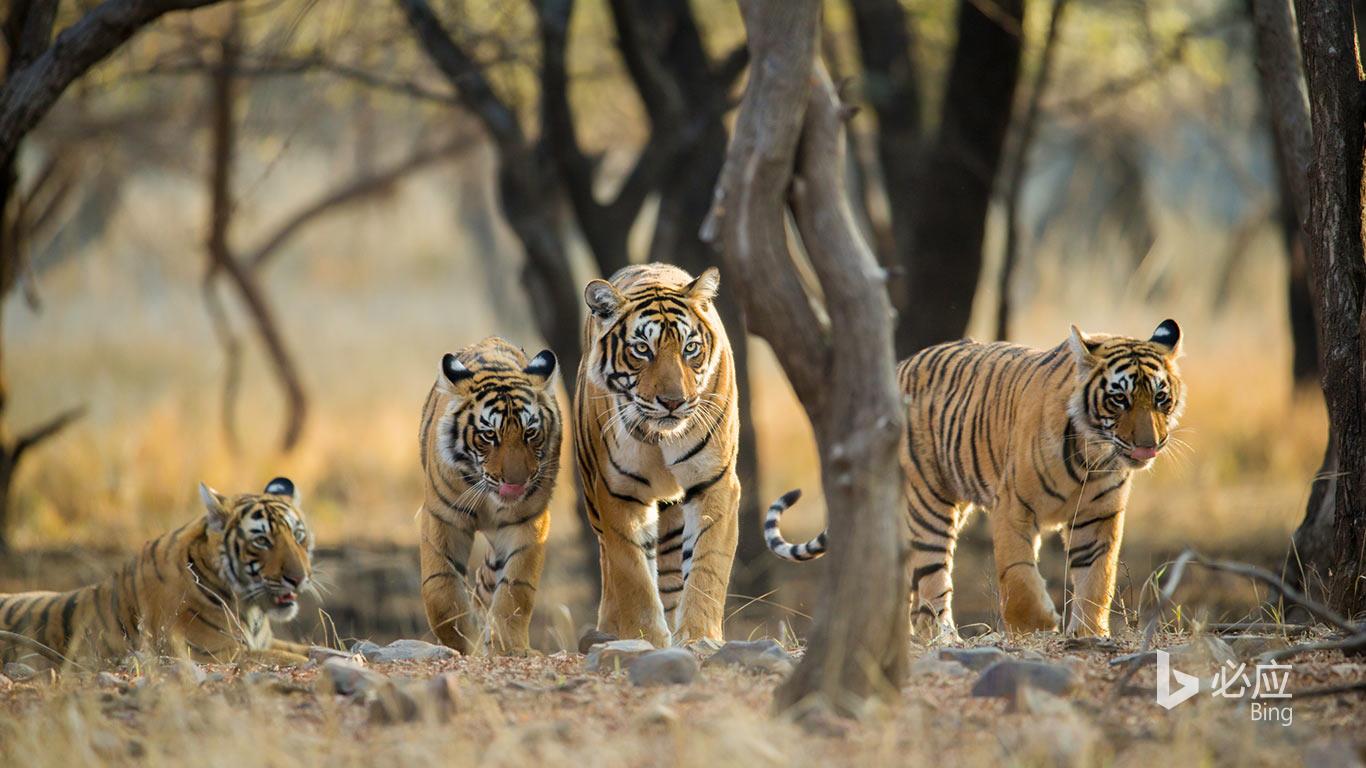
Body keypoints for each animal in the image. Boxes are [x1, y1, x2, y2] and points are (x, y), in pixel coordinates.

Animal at [0, 477, 313, 667]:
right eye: (262, 541)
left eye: (298, 536)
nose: (298, 579)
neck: (252, 610)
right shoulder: (214, 652)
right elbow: (292, 658)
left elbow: (310, 650)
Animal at [418, 337, 561, 655]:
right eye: (489, 435)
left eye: (530, 433)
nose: (516, 483)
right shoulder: (442, 518)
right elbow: (440, 591)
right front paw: (462, 642)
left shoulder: (528, 521)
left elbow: (516, 588)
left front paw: (507, 647)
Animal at [575, 263, 740, 647]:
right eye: (641, 349)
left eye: (690, 348)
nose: (673, 402)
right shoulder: (619, 491)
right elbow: (632, 573)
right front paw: (645, 637)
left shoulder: (714, 482)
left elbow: (707, 566)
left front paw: (699, 637)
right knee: (610, 565)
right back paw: (608, 629)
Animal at [764, 320, 1186, 639]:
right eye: (1120, 399)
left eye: (1160, 398)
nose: (1149, 445)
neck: (1092, 456)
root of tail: (898, 367)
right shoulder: (1013, 506)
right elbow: (1017, 574)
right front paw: (1037, 625)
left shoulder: (1098, 517)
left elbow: (1097, 578)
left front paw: (1089, 633)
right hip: (928, 503)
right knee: (932, 580)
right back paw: (943, 637)